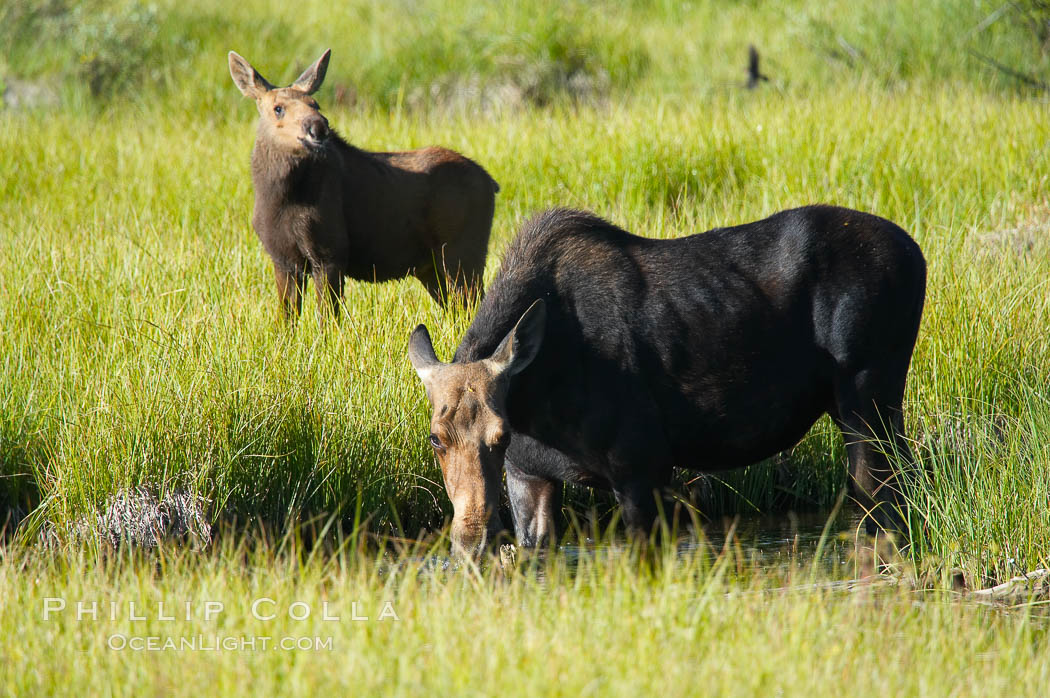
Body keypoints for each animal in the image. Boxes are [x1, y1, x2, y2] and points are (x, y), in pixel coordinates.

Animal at [227, 49, 497, 319]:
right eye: (278, 108)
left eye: (315, 104)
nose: (319, 126)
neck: (280, 197)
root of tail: (492, 183)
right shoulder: (282, 258)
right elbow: (287, 318)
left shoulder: (330, 251)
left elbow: (329, 317)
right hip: (432, 268)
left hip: (461, 253)